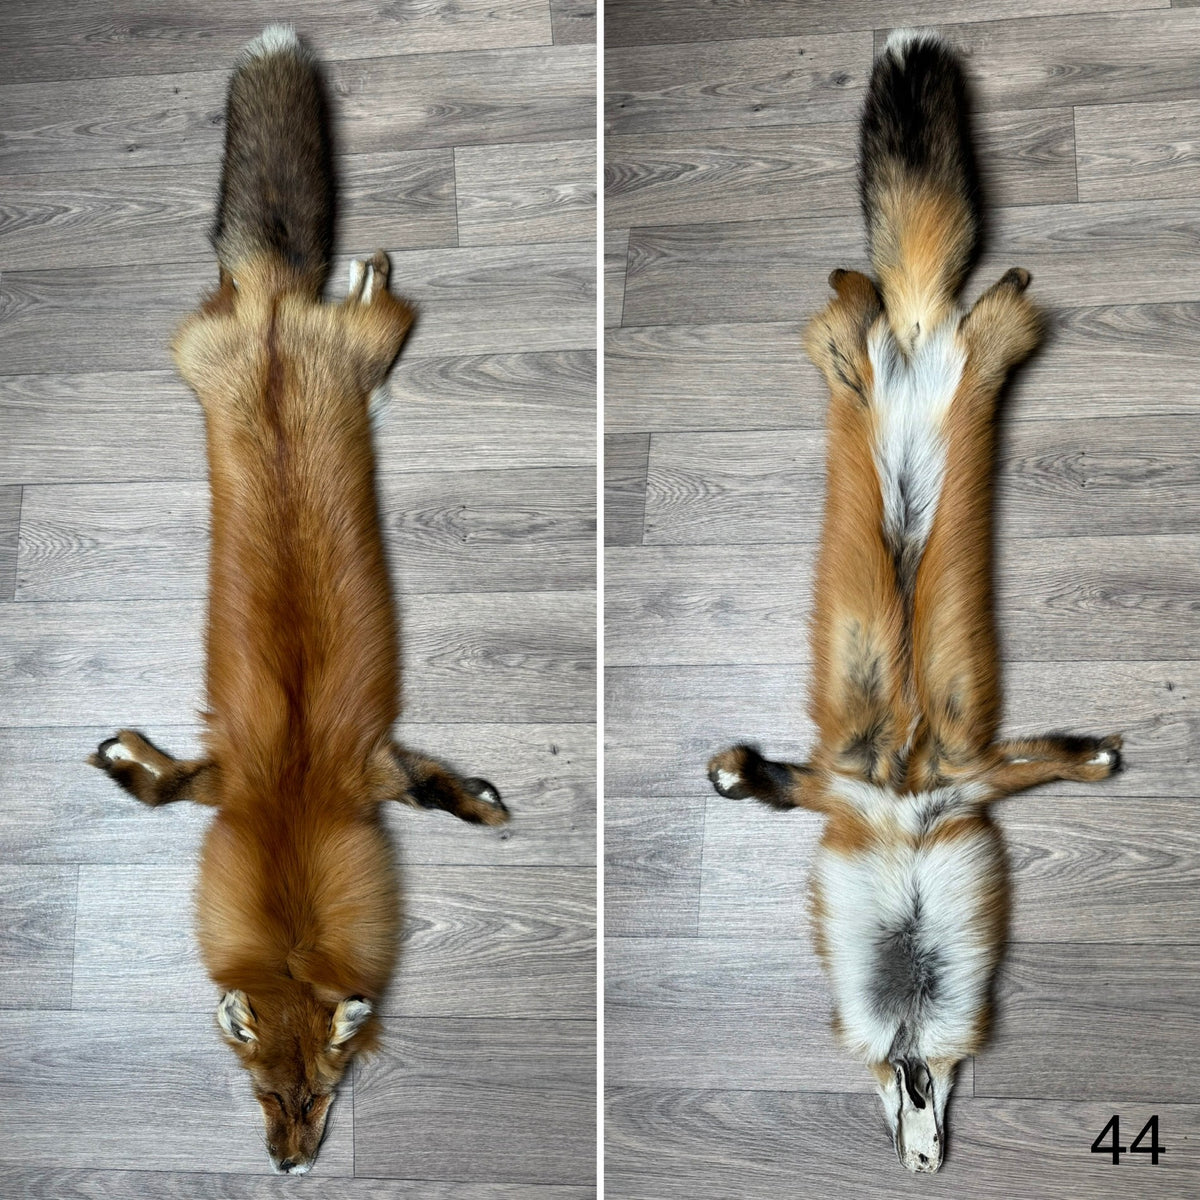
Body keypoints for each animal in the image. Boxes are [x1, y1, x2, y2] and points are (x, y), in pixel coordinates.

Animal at [89, 25, 509, 1176]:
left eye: (321, 1093)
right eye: (261, 1094)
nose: (290, 1166)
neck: (287, 802)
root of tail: (274, 312)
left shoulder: (368, 770)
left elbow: (436, 792)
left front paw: (482, 805)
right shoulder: (228, 777)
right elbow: (157, 789)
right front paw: (120, 759)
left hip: (368, 350)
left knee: (387, 306)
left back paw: (369, 269)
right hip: (219, 355)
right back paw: (353, 271)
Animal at [707, 30, 1121, 1173]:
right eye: (907, 1102)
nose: (924, 1162)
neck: (901, 814)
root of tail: (920, 328)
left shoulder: (969, 780)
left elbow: (1049, 761)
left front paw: (1096, 759)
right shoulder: (840, 790)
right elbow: (770, 779)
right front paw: (731, 771)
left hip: (957, 438)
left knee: (967, 344)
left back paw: (977, 308)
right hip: (857, 421)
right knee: (856, 326)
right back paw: (880, 299)